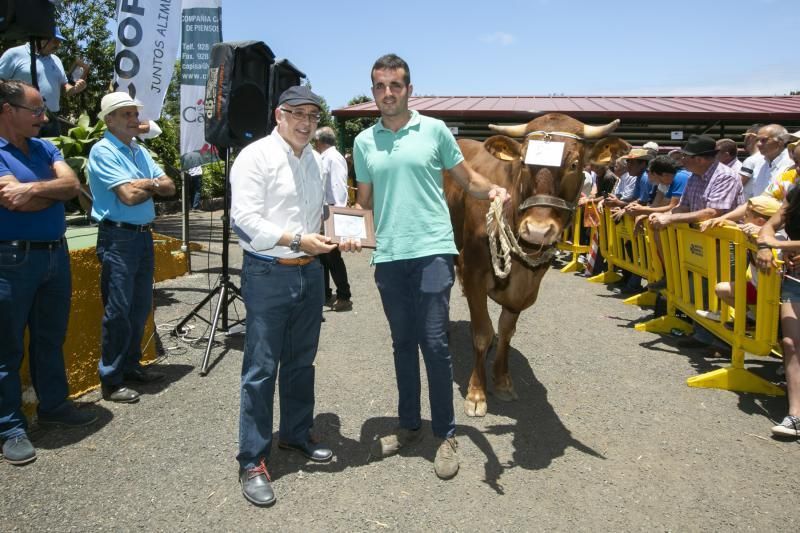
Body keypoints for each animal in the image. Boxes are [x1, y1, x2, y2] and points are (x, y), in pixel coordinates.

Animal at [440, 114, 628, 418]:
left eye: (574, 164)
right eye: (524, 163)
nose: (538, 230)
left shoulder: (526, 286)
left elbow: (506, 330)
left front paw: (502, 380)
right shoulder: (473, 270)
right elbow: (481, 332)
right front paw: (477, 393)